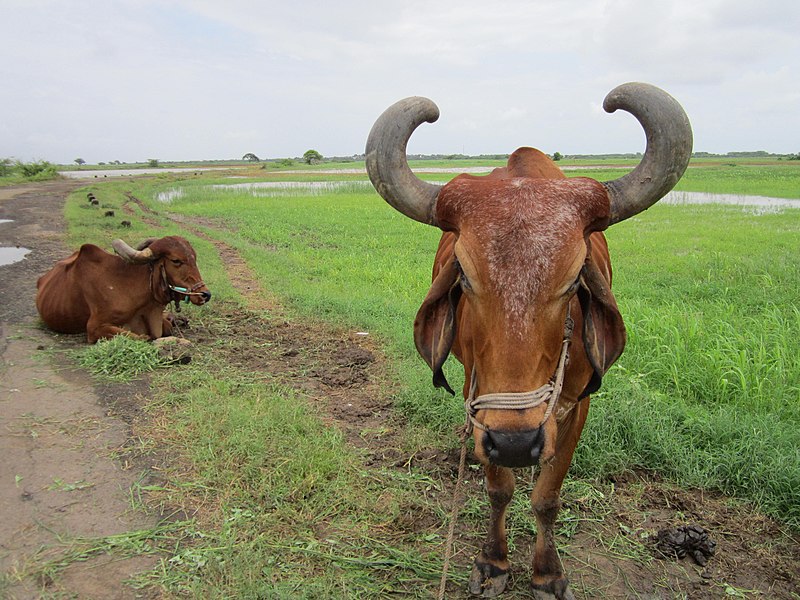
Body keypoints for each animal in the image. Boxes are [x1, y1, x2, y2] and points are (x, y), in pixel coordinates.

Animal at [36, 237, 211, 344]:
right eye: (176, 260)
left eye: (194, 258)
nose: (205, 294)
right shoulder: (94, 328)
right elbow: (144, 337)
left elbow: (167, 326)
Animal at [366, 82, 692, 596]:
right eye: (465, 275)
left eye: (575, 278)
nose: (517, 444)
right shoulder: (477, 397)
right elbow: (499, 488)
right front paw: (494, 562)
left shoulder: (576, 406)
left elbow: (546, 497)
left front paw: (547, 572)